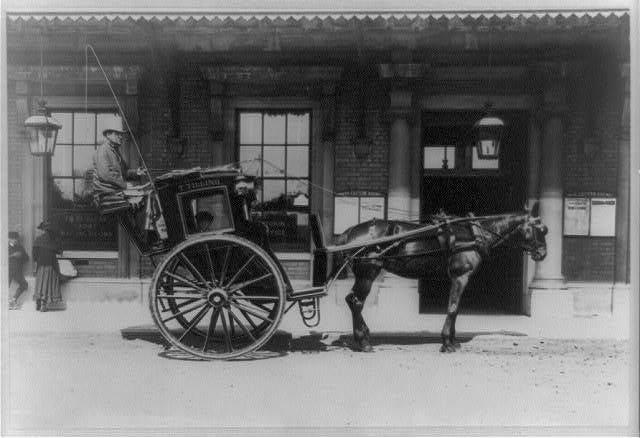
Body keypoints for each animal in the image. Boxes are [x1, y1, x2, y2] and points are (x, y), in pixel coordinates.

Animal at [332, 205, 548, 352]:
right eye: (540, 228)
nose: (542, 253)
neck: (472, 234)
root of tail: (348, 233)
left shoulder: (460, 279)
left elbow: (456, 309)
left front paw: (453, 340)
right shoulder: (460, 277)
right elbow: (453, 308)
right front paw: (447, 342)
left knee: (351, 301)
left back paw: (363, 336)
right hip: (367, 273)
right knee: (356, 302)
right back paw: (363, 341)